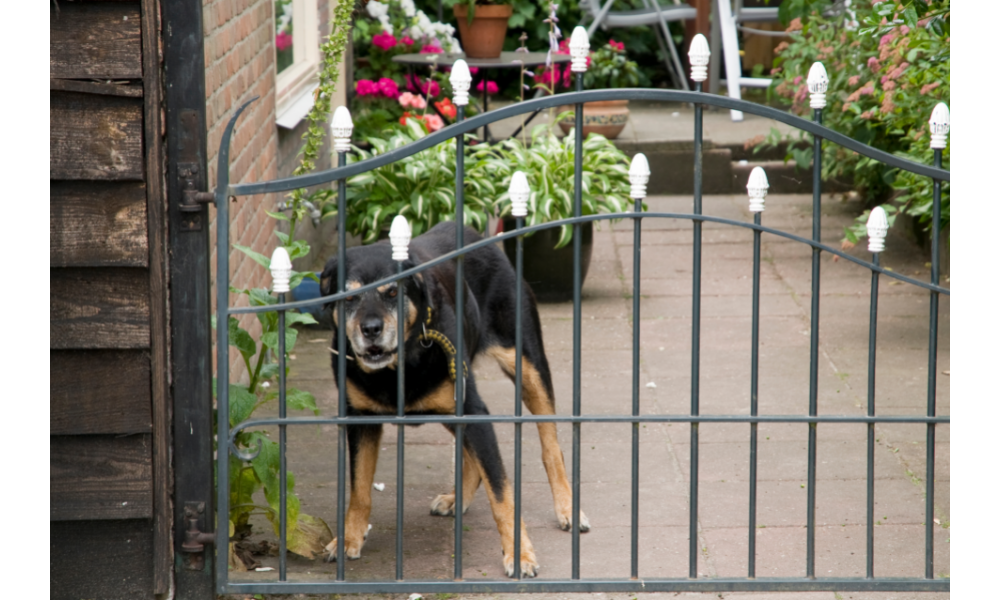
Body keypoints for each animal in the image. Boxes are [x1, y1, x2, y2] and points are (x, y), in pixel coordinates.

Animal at [318, 221, 584, 576]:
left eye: (393, 293)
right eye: (349, 296)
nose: (370, 329)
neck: (400, 364)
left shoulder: (474, 411)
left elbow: (502, 494)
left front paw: (520, 555)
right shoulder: (360, 419)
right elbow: (359, 490)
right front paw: (348, 539)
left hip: (529, 368)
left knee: (551, 446)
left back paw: (568, 509)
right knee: (472, 456)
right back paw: (458, 498)